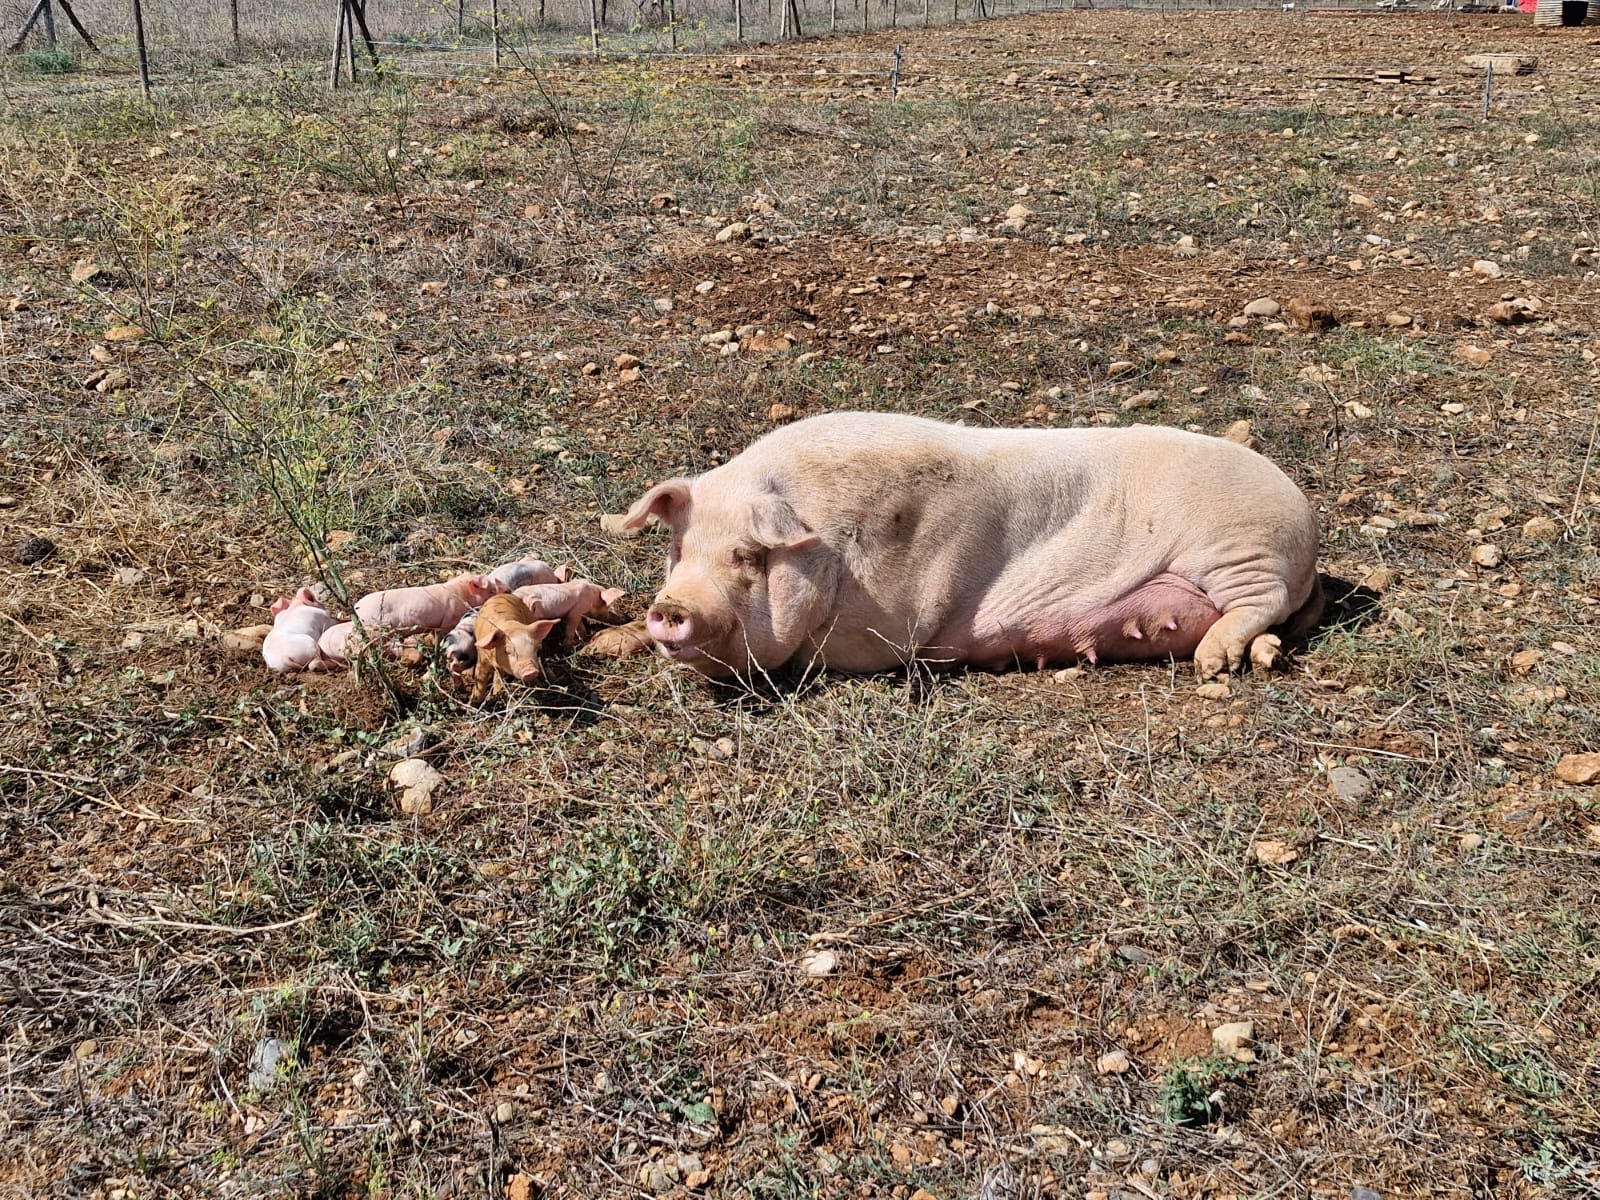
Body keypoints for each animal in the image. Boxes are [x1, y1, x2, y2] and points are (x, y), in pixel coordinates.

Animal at [600, 411, 1321, 680]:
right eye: (677, 551)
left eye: (748, 558)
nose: (671, 606)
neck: (834, 550)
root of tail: (1304, 514)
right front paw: (610, 643)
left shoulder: (891, 630)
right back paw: (1257, 658)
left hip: (1244, 550)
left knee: (1258, 603)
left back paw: (1212, 663)